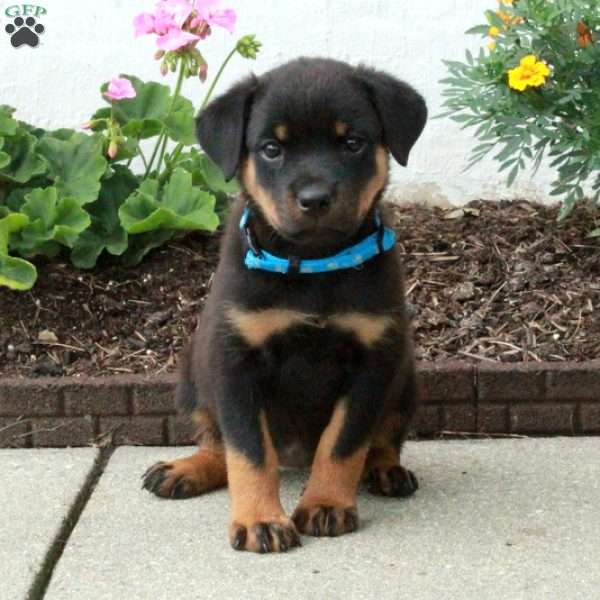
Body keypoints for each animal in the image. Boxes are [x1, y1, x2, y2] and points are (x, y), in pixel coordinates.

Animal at [143, 56, 426, 552]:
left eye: (352, 142)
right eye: (271, 149)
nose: (315, 199)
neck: (313, 266)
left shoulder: (372, 359)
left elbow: (343, 443)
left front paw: (326, 504)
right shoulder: (234, 359)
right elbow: (248, 450)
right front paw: (260, 519)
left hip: (404, 376)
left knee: (383, 438)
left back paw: (386, 469)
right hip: (193, 371)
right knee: (217, 443)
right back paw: (185, 469)